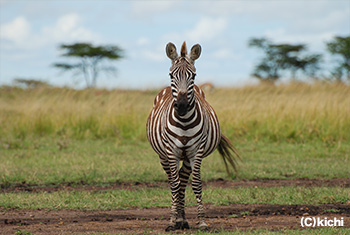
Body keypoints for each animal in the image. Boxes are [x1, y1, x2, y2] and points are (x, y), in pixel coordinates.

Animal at [146, 41, 239, 230]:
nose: (181, 106)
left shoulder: (197, 151)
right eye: (171, 74)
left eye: (193, 76)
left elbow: (195, 183)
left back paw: (182, 219)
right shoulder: (171, 151)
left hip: (188, 156)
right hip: (163, 156)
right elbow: (174, 185)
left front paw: (201, 221)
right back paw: (178, 218)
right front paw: (172, 221)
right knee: (174, 181)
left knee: (183, 179)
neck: (183, 121)